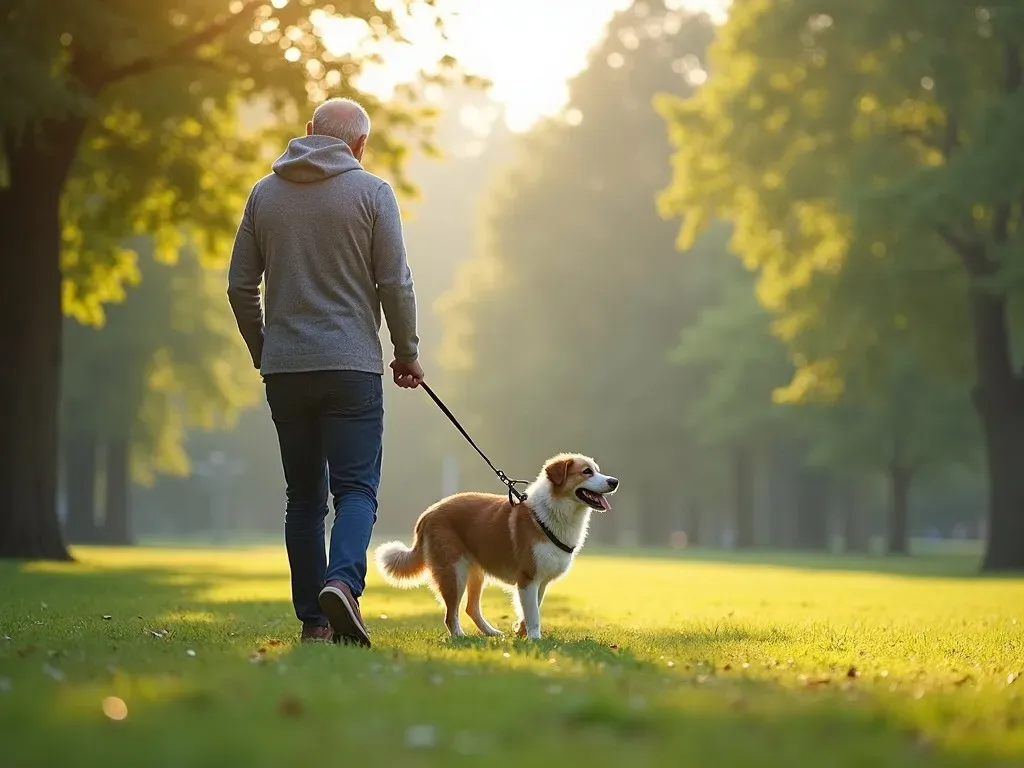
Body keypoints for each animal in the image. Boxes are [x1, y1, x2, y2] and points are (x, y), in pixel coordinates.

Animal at [374, 454, 614, 638]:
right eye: (586, 472)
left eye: (597, 470)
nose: (614, 481)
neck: (551, 514)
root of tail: (428, 513)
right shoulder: (528, 579)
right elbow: (533, 615)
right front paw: (535, 639)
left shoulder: (541, 582)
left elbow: (531, 611)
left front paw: (521, 633)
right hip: (454, 572)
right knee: (451, 614)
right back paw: (460, 636)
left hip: (476, 573)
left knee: (471, 608)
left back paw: (490, 633)